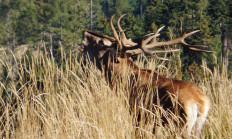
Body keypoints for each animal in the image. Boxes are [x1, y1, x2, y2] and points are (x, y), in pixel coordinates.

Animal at [78, 14, 212, 137]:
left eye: (100, 42)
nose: (85, 32)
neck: (124, 82)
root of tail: (200, 102)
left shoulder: (137, 112)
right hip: (198, 126)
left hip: (180, 123)